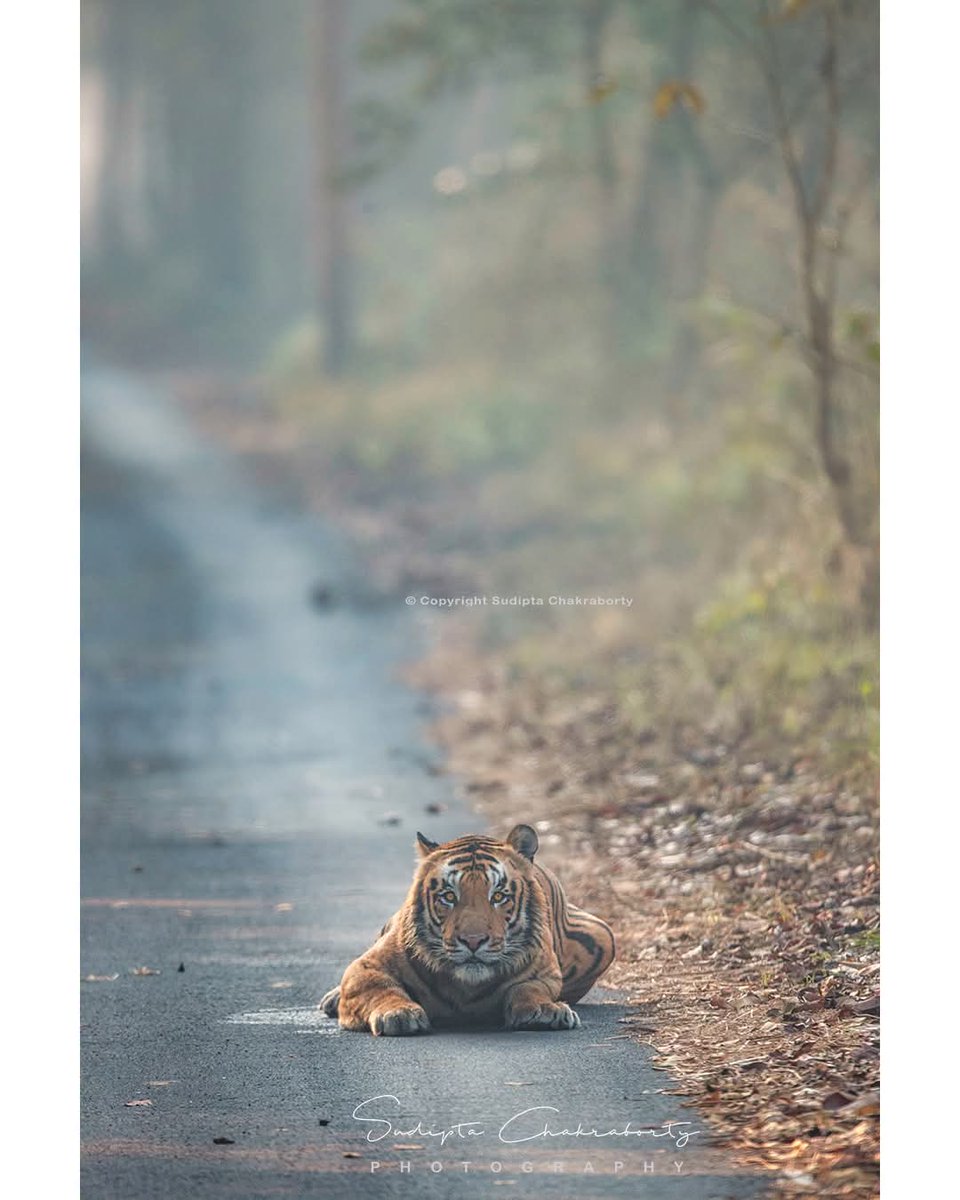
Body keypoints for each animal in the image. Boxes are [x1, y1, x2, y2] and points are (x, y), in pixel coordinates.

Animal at [319, 823, 615, 1035]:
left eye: (499, 896)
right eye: (449, 896)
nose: (473, 941)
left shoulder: (546, 975)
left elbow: (528, 989)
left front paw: (546, 1011)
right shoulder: (366, 966)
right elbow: (381, 987)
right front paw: (399, 1014)